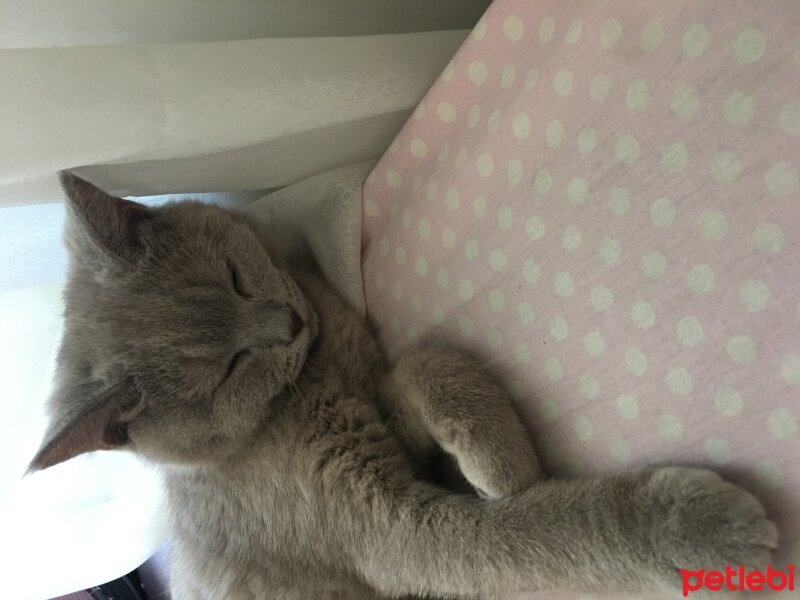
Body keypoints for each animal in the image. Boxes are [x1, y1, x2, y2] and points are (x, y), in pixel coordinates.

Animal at [29, 175, 776, 600]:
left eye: (235, 279)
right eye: (228, 369)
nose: (288, 322)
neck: (309, 382)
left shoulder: (378, 393)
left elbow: (425, 360)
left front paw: (500, 457)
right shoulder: (388, 532)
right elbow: (535, 532)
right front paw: (695, 530)